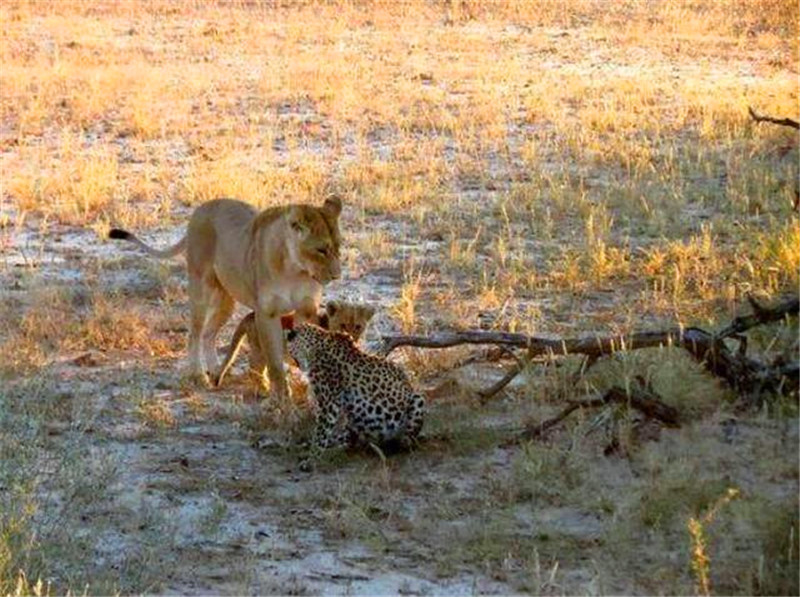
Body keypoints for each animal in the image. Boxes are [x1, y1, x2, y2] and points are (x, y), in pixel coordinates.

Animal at [286, 322, 424, 460]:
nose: (297, 365)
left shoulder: (328, 404)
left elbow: (321, 434)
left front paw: (311, 459)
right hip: (354, 422)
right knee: (350, 440)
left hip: (418, 398)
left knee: (408, 438)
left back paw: (401, 442)